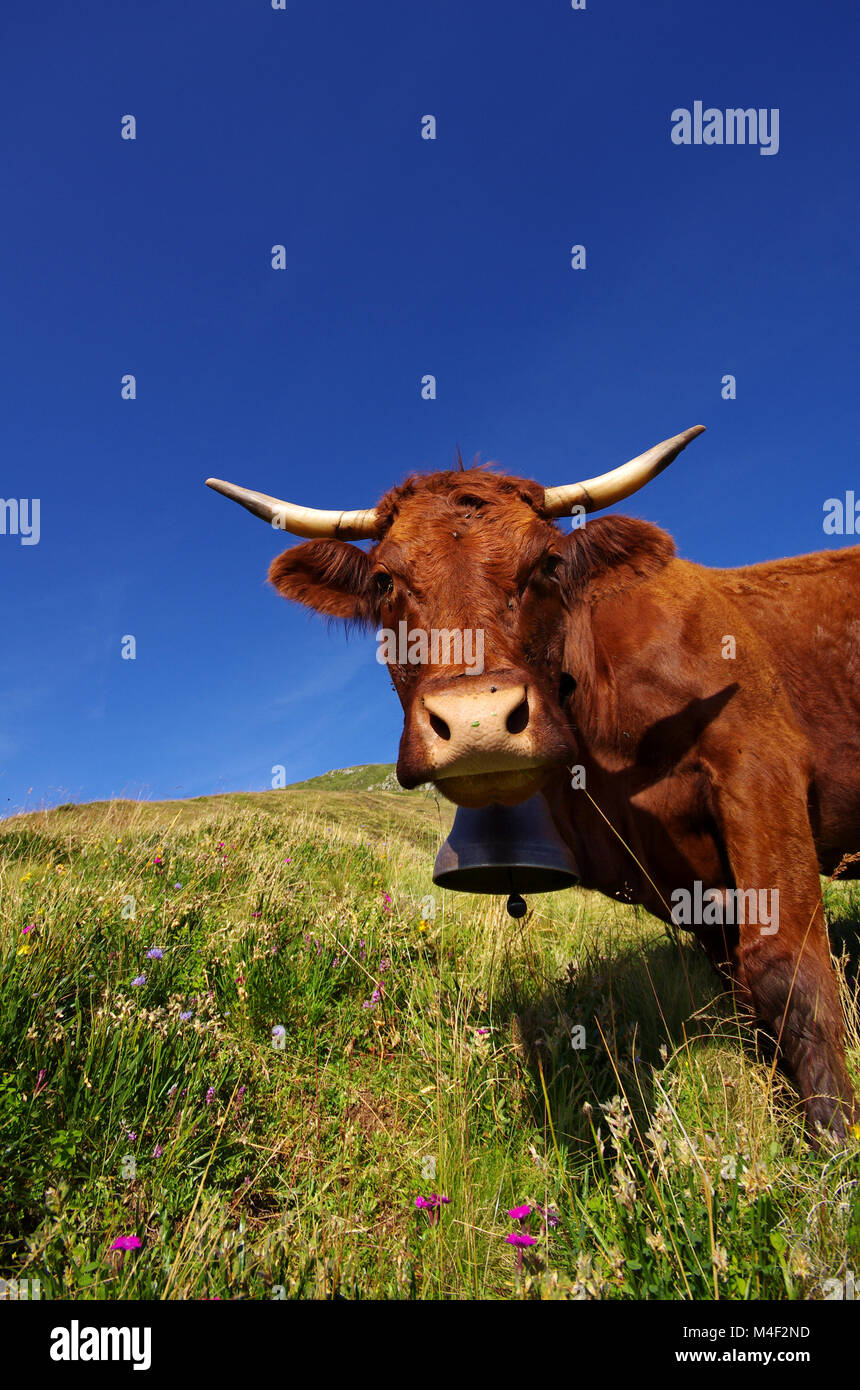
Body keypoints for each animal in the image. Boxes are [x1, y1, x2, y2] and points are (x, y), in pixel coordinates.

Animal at [207, 426, 860, 1139]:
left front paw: (831, 1145)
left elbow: (788, 973)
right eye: (383, 580)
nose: (478, 722)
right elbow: (746, 999)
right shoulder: (694, 882)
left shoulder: (760, 773)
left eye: (548, 563)